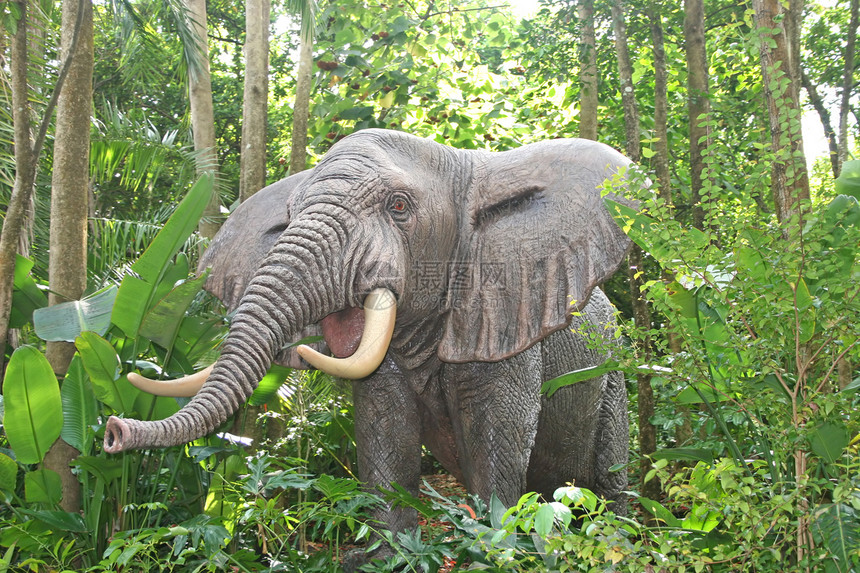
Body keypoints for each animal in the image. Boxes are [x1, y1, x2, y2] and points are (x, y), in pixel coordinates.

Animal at [102, 127, 640, 540]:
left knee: (611, 480)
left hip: (615, 370)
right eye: (290, 216)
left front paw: (495, 548)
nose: (112, 431)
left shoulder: (504, 322)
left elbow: (498, 441)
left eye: (398, 206)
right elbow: (384, 432)